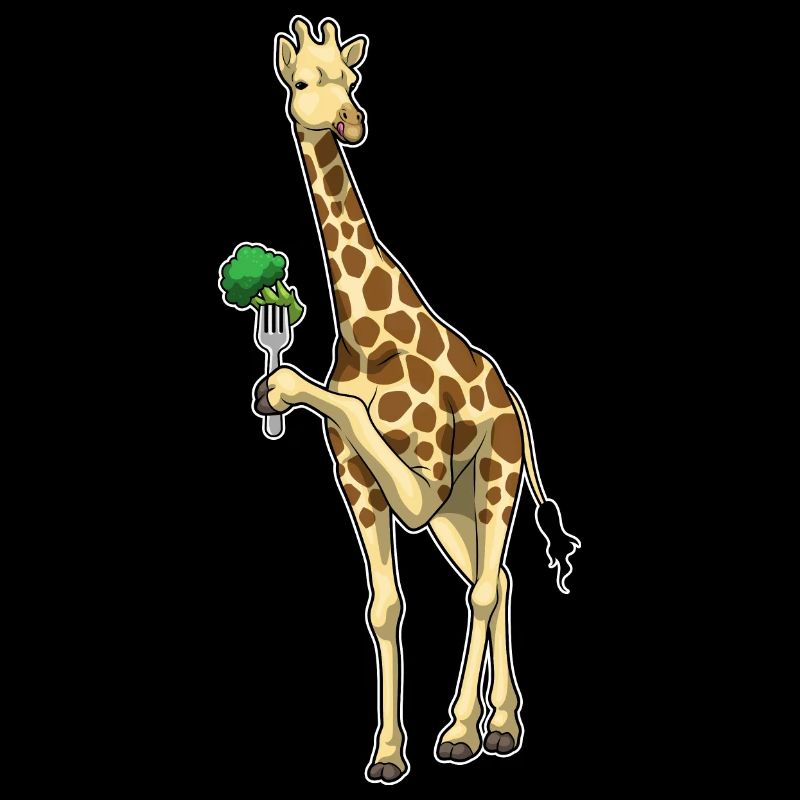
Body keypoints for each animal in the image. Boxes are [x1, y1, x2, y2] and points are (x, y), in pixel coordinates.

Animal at [256, 16, 581, 785]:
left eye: (353, 78)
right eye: (304, 81)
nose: (351, 122)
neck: (364, 329)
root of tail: (516, 405)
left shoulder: (421, 484)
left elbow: (345, 408)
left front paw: (282, 385)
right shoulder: (358, 482)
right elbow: (383, 608)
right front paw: (386, 753)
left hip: (492, 478)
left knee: (487, 586)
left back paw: (465, 731)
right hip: (458, 513)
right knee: (504, 579)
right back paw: (504, 726)